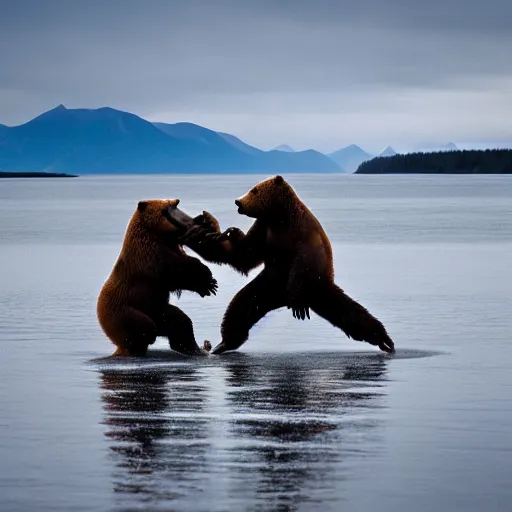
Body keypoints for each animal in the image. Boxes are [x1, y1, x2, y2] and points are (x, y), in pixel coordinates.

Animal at [97, 198, 217, 358]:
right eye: (168, 208)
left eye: (176, 204)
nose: (198, 219)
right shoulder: (151, 259)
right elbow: (176, 274)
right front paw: (208, 283)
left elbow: (189, 264)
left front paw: (209, 282)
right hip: (124, 311)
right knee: (143, 326)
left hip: (158, 309)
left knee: (179, 322)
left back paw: (196, 348)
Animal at [182, 176, 394, 356]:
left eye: (254, 190)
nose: (238, 202)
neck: (280, 218)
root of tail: (280, 300)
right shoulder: (265, 231)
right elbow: (245, 256)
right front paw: (218, 232)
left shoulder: (303, 235)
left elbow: (304, 263)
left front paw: (298, 305)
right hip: (266, 288)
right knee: (239, 308)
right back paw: (224, 343)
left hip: (318, 288)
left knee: (351, 313)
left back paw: (385, 340)